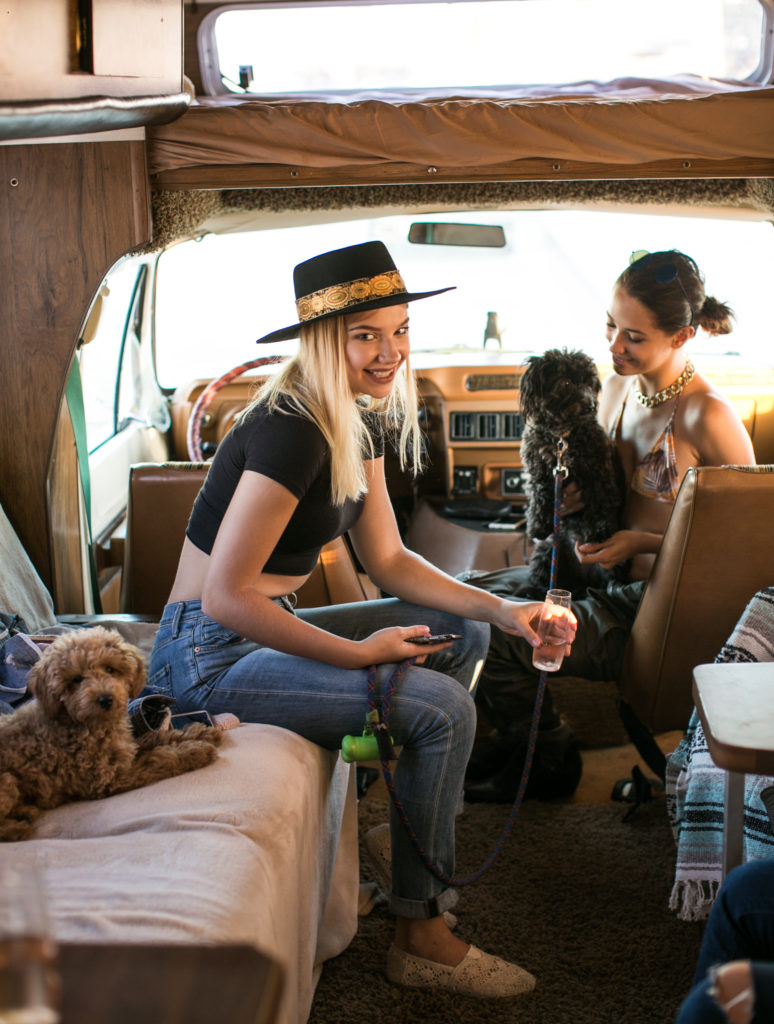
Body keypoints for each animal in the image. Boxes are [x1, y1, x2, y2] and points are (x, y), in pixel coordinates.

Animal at [0, 626, 224, 843]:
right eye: (76, 680)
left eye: (110, 669)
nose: (105, 699)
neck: (84, 721)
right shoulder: (109, 778)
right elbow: (160, 757)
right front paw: (196, 750)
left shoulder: (126, 748)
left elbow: (155, 737)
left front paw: (200, 733)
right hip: (8, 780)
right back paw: (17, 827)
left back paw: (24, 812)